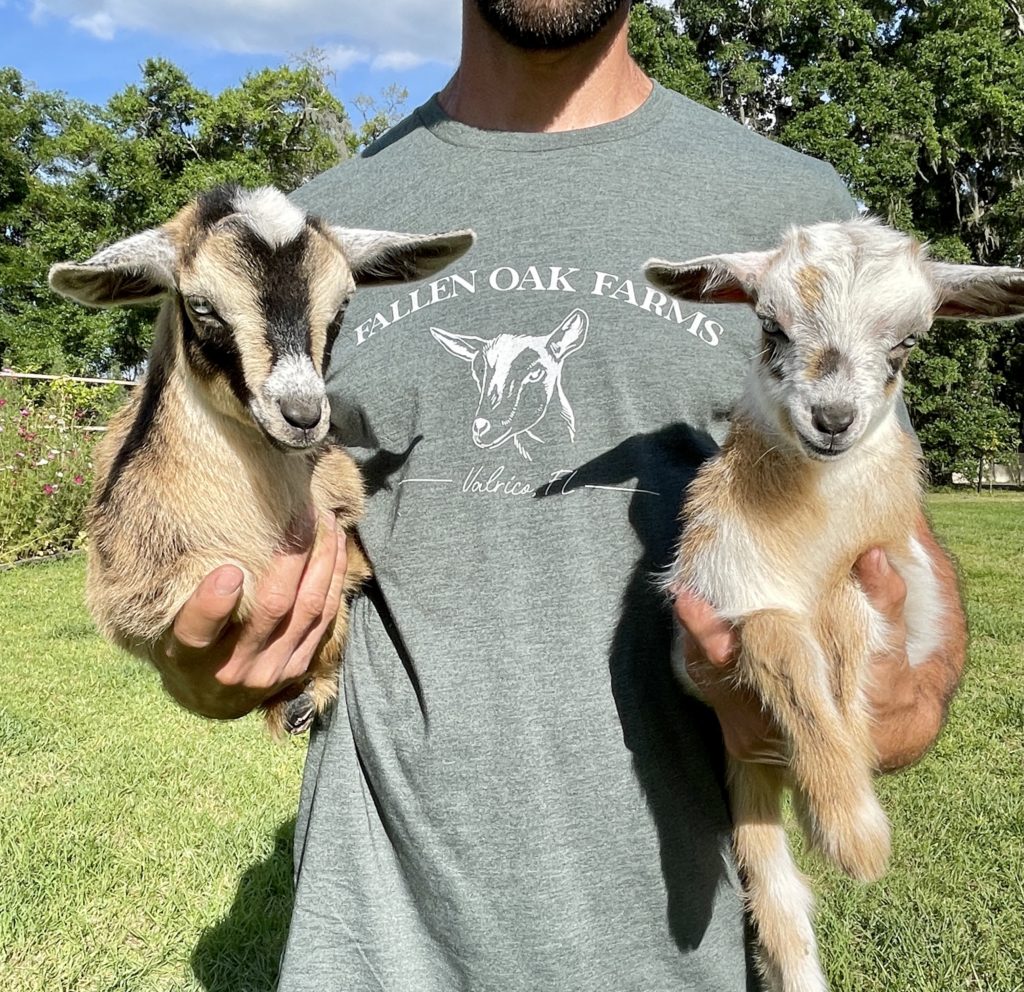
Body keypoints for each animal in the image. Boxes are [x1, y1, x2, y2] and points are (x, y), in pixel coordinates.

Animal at [647, 219, 1024, 990]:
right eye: (770, 325)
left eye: (909, 340)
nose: (833, 418)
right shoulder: (710, 612)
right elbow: (777, 640)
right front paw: (854, 833)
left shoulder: (892, 585)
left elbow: (850, 627)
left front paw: (851, 823)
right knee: (779, 902)